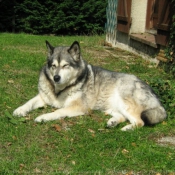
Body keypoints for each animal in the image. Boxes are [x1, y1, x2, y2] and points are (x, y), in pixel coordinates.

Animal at [13, 41, 166, 131]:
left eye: (65, 66)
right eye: (53, 66)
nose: (56, 77)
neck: (60, 90)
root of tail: (157, 98)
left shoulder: (78, 107)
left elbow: (58, 111)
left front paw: (43, 117)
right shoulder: (43, 97)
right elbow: (29, 102)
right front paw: (19, 110)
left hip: (125, 101)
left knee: (140, 122)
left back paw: (127, 128)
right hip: (112, 106)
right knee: (122, 116)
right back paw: (113, 122)